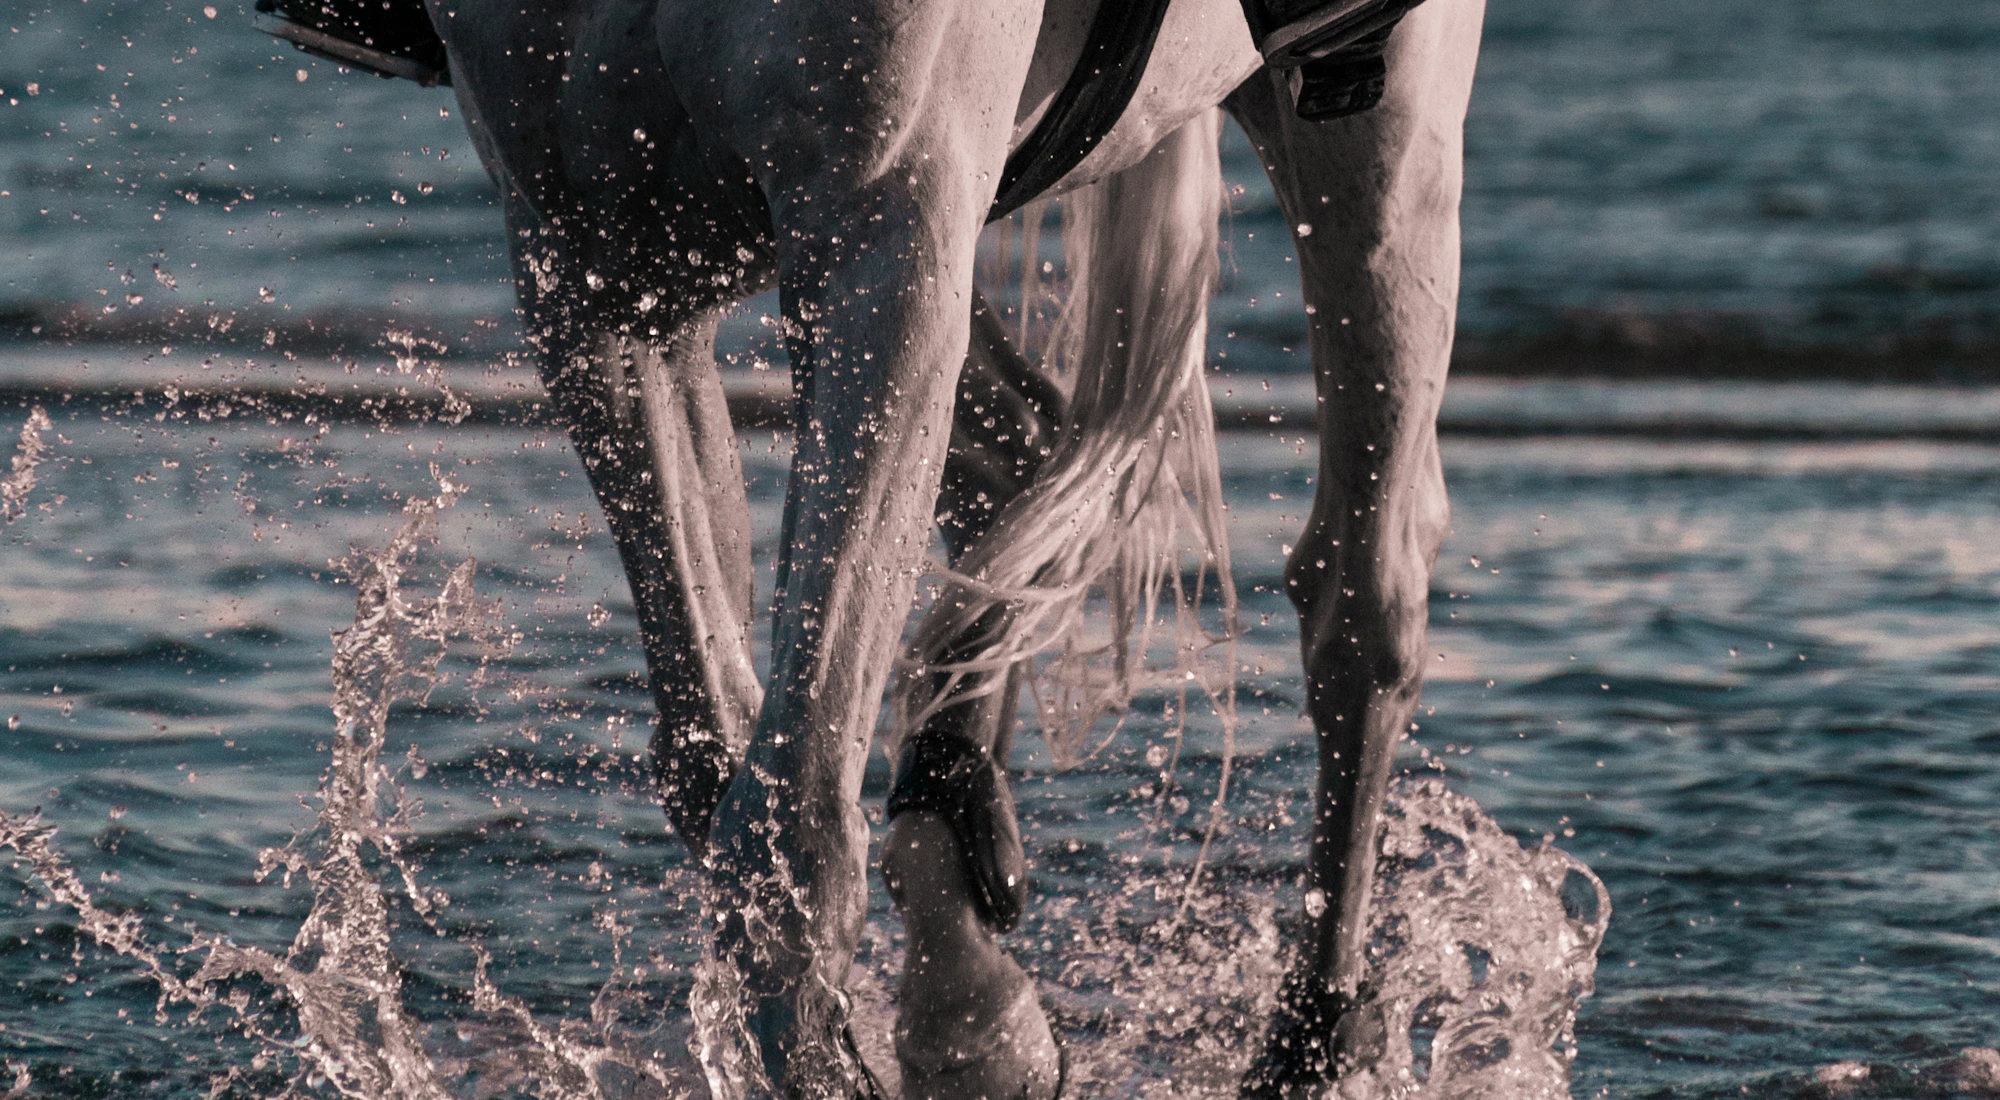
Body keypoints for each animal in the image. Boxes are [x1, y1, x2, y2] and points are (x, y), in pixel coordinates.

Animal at [272, 0, 1485, 1093]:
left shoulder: (882, 229)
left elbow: (791, 816)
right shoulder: (608, 267)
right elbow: (716, 756)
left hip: (1379, 149)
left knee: (1362, 601)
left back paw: (1304, 1038)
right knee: (1016, 466)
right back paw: (970, 992)